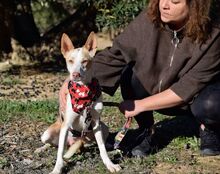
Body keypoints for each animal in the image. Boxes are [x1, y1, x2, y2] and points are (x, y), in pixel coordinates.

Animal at [39, 32, 120, 173]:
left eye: (84, 61)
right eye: (70, 61)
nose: (75, 75)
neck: (83, 92)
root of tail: (73, 142)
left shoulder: (96, 122)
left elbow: (102, 147)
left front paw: (110, 164)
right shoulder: (66, 125)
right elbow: (60, 152)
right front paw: (57, 169)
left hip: (103, 128)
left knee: (96, 142)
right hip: (48, 133)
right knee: (53, 144)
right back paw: (41, 149)